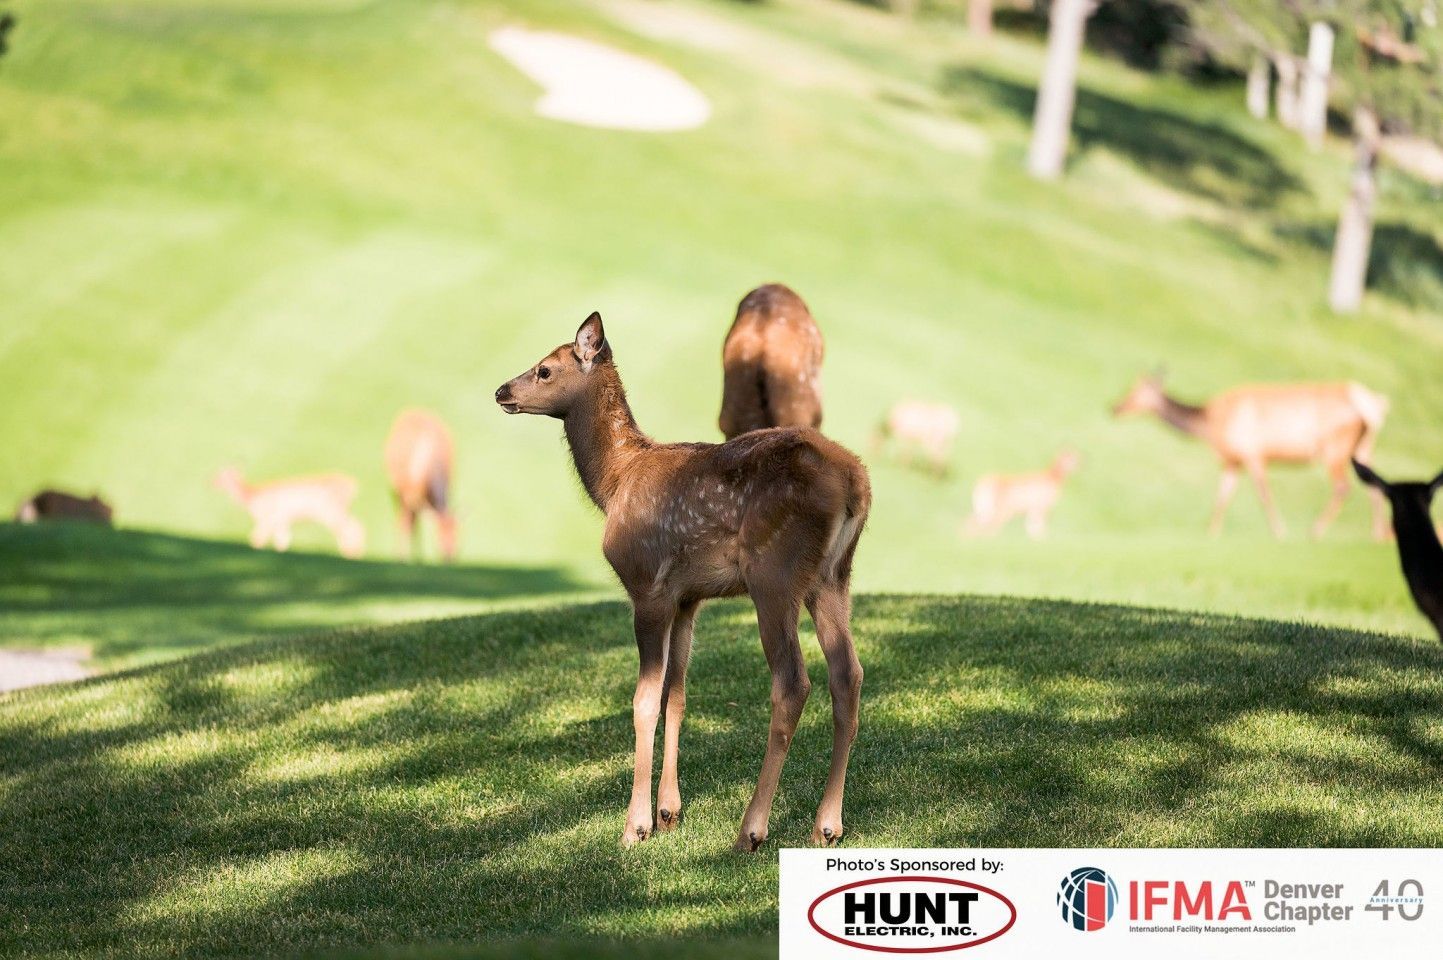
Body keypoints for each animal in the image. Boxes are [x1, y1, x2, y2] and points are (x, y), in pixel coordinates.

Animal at [213, 467, 366, 559]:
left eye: (221, 476)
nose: (211, 481)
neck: (251, 497)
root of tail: (354, 485)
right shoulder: (280, 521)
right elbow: (282, 539)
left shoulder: (267, 519)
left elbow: (258, 538)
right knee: (354, 526)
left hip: (330, 511)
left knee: (348, 528)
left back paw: (350, 553)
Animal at [384, 409, 458, 562]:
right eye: (439, 532)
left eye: (458, 531)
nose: (449, 556)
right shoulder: (409, 496)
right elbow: (409, 524)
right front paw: (406, 557)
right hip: (396, 492)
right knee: (403, 520)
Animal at [496, 312, 870, 852]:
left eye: (545, 369)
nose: (502, 390)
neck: (614, 484)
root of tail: (856, 483)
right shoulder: (688, 597)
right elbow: (677, 692)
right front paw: (669, 811)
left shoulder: (647, 586)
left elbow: (644, 700)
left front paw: (636, 825)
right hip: (834, 575)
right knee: (848, 674)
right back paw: (827, 824)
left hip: (774, 573)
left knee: (793, 682)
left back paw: (751, 829)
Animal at [1112, 372, 1389, 540]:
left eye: (1136, 391)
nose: (1115, 407)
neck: (1209, 424)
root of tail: (1375, 404)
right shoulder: (1232, 461)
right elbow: (1222, 497)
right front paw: (1211, 533)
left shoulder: (1252, 454)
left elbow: (1263, 495)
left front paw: (1279, 532)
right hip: (1362, 449)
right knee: (1374, 485)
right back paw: (1379, 534)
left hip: (1335, 450)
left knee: (1343, 487)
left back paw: (1316, 532)